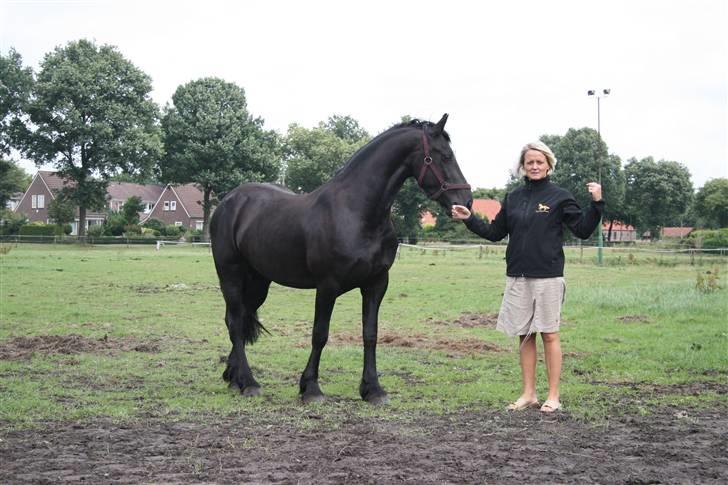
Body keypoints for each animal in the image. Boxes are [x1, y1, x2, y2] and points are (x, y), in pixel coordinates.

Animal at [210, 113, 472, 404]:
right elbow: (320, 334)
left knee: (240, 319)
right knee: (235, 322)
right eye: (444, 156)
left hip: (258, 281)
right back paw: (249, 383)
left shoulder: (376, 284)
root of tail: (229, 201)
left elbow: (370, 334)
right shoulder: (327, 286)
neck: (357, 212)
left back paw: (234, 378)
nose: (466, 202)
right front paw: (311, 388)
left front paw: (373, 389)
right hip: (230, 274)